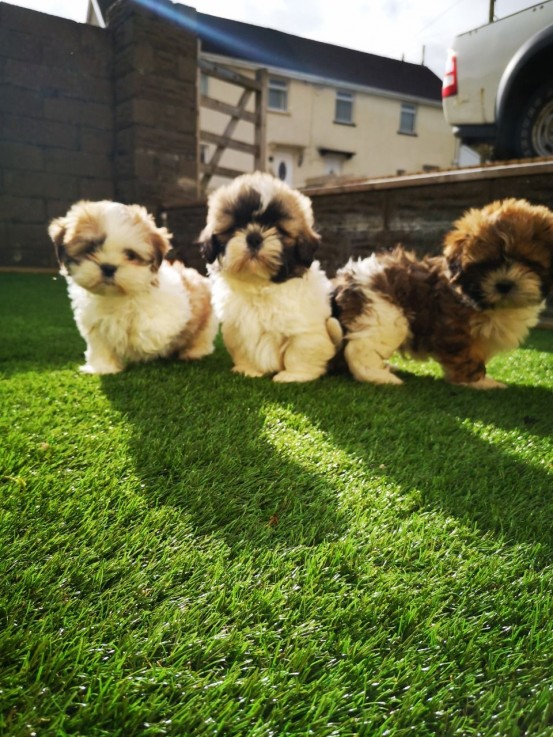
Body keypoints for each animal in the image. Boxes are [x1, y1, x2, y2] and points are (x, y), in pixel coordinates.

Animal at [48, 198, 218, 374]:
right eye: (91, 249)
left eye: (130, 255)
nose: (108, 267)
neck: (117, 296)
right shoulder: (95, 324)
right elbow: (101, 346)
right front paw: (103, 368)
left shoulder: (172, 312)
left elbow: (150, 328)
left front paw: (136, 344)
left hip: (207, 322)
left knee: (201, 338)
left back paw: (193, 352)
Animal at [198, 170, 340, 382]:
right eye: (236, 227)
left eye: (278, 229)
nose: (254, 237)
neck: (261, 285)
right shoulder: (239, 329)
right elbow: (244, 349)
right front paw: (248, 370)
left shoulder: (306, 329)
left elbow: (300, 351)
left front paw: (294, 376)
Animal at [332, 198, 552, 388]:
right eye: (484, 265)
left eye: (528, 262)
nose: (504, 284)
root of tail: (347, 279)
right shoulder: (454, 328)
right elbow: (466, 357)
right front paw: (479, 382)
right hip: (385, 314)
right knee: (359, 348)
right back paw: (380, 376)